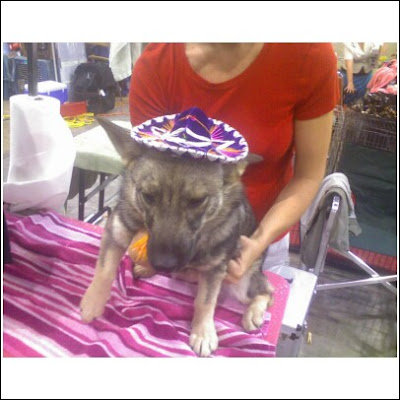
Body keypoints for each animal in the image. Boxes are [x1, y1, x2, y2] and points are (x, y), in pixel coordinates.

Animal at [80, 116, 274, 357]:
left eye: (198, 201)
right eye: (148, 196)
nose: (164, 265)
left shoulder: (215, 269)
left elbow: (205, 302)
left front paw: (203, 332)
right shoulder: (116, 229)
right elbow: (105, 270)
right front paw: (92, 303)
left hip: (242, 281)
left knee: (268, 292)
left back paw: (254, 313)